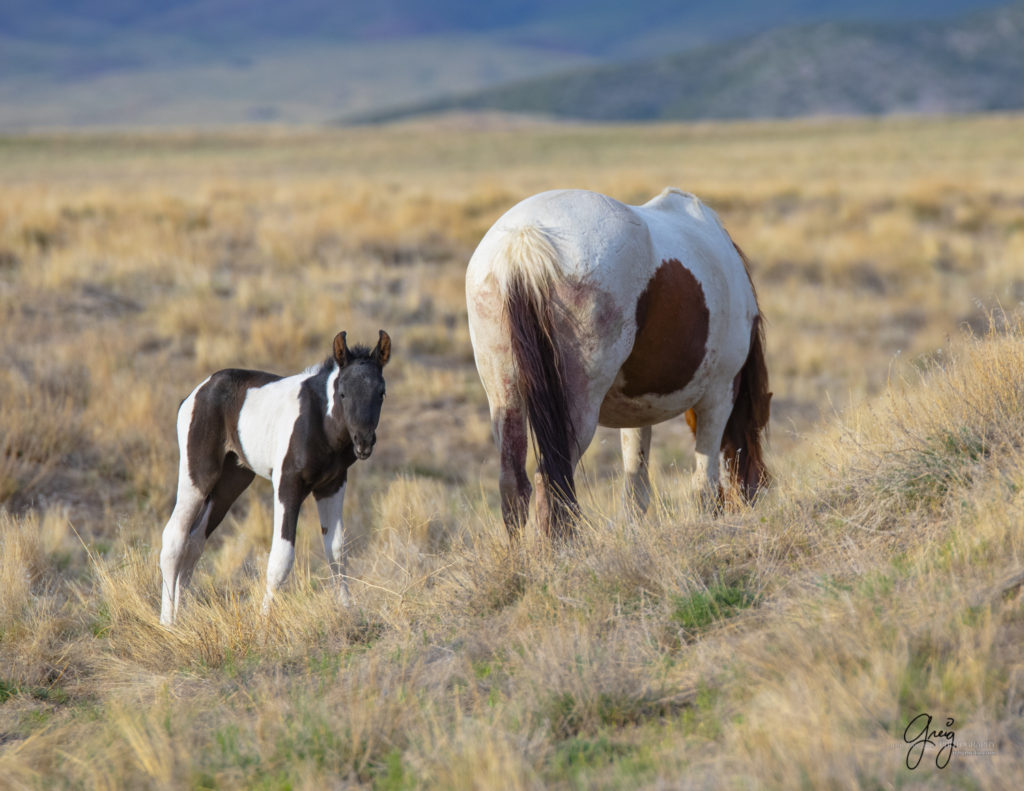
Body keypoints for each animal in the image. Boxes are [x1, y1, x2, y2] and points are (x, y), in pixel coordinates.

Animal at [159, 327, 391, 622]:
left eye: (381, 393)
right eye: (342, 393)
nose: (363, 443)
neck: (321, 422)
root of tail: (195, 394)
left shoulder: (333, 484)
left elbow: (337, 550)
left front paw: (348, 611)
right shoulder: (287, 483)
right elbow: (282, 557)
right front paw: (263, 620)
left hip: (231, 482)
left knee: (195, 541)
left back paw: (183, 615)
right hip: (198, 475)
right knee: (174, 539)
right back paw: (168, 622)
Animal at [464, 188, 770, 540]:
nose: (752, 498)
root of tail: (524, 242)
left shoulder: (637, 411)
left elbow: (636, 490)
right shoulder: (719, 395)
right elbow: (702, 487)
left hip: (505, 395)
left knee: (514, 482)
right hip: (577, 409)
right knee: (551, 479)